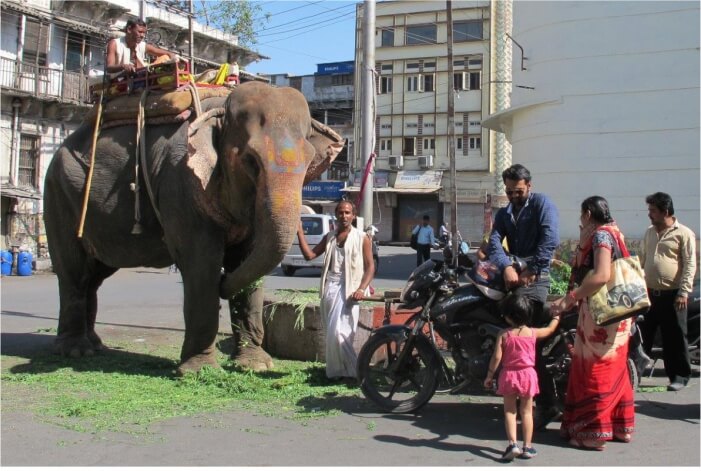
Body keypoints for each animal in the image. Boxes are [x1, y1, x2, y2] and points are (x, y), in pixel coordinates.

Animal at [42, 81, 344, 376]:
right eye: (250, 161)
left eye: (310, 163)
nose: (224, 284)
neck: (220, 111)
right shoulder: (180, 183)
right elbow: (201, 264)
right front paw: (198, 371)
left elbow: (246, 260)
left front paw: (254, 365)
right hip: (58, 196)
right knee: (73, 271)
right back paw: (75, 351)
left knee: (95, 274)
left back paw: (95, 345)